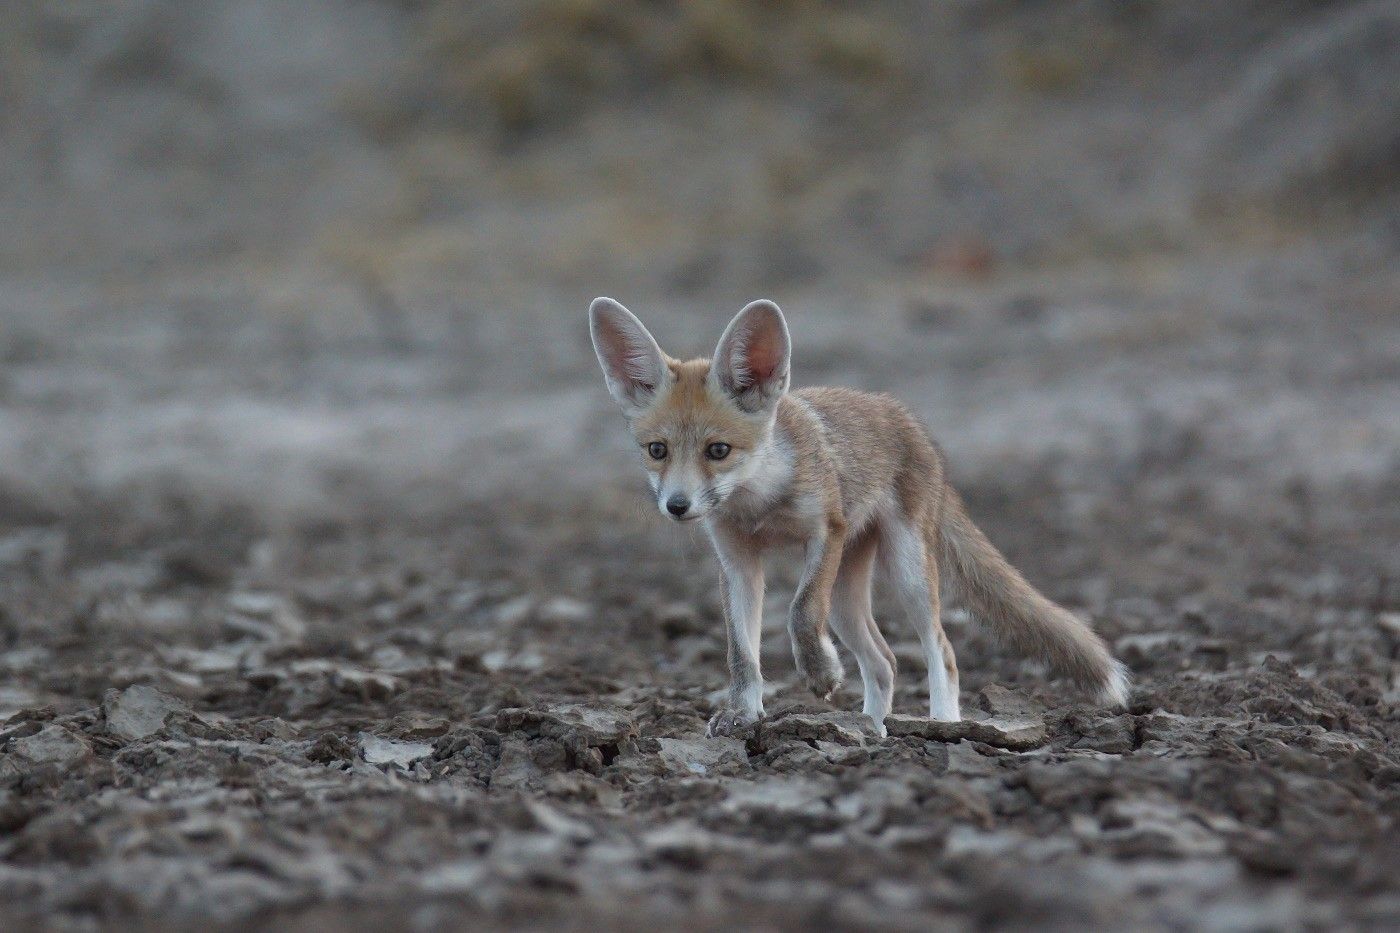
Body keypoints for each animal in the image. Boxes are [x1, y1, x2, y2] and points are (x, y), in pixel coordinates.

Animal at [588, 298, 1125, 734]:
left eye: (717, 450)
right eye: (657, 450)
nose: (677, 506)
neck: (760, 504)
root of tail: (905, 417)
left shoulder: (827, 531)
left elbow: (801, 611)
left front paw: (819, 673)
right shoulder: (737, 564)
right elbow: (742, 654)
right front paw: (743, 714)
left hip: (908, 571)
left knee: (943, 651)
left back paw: (942, 723)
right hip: (847, 600)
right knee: (885, 662)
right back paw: (873, 728)